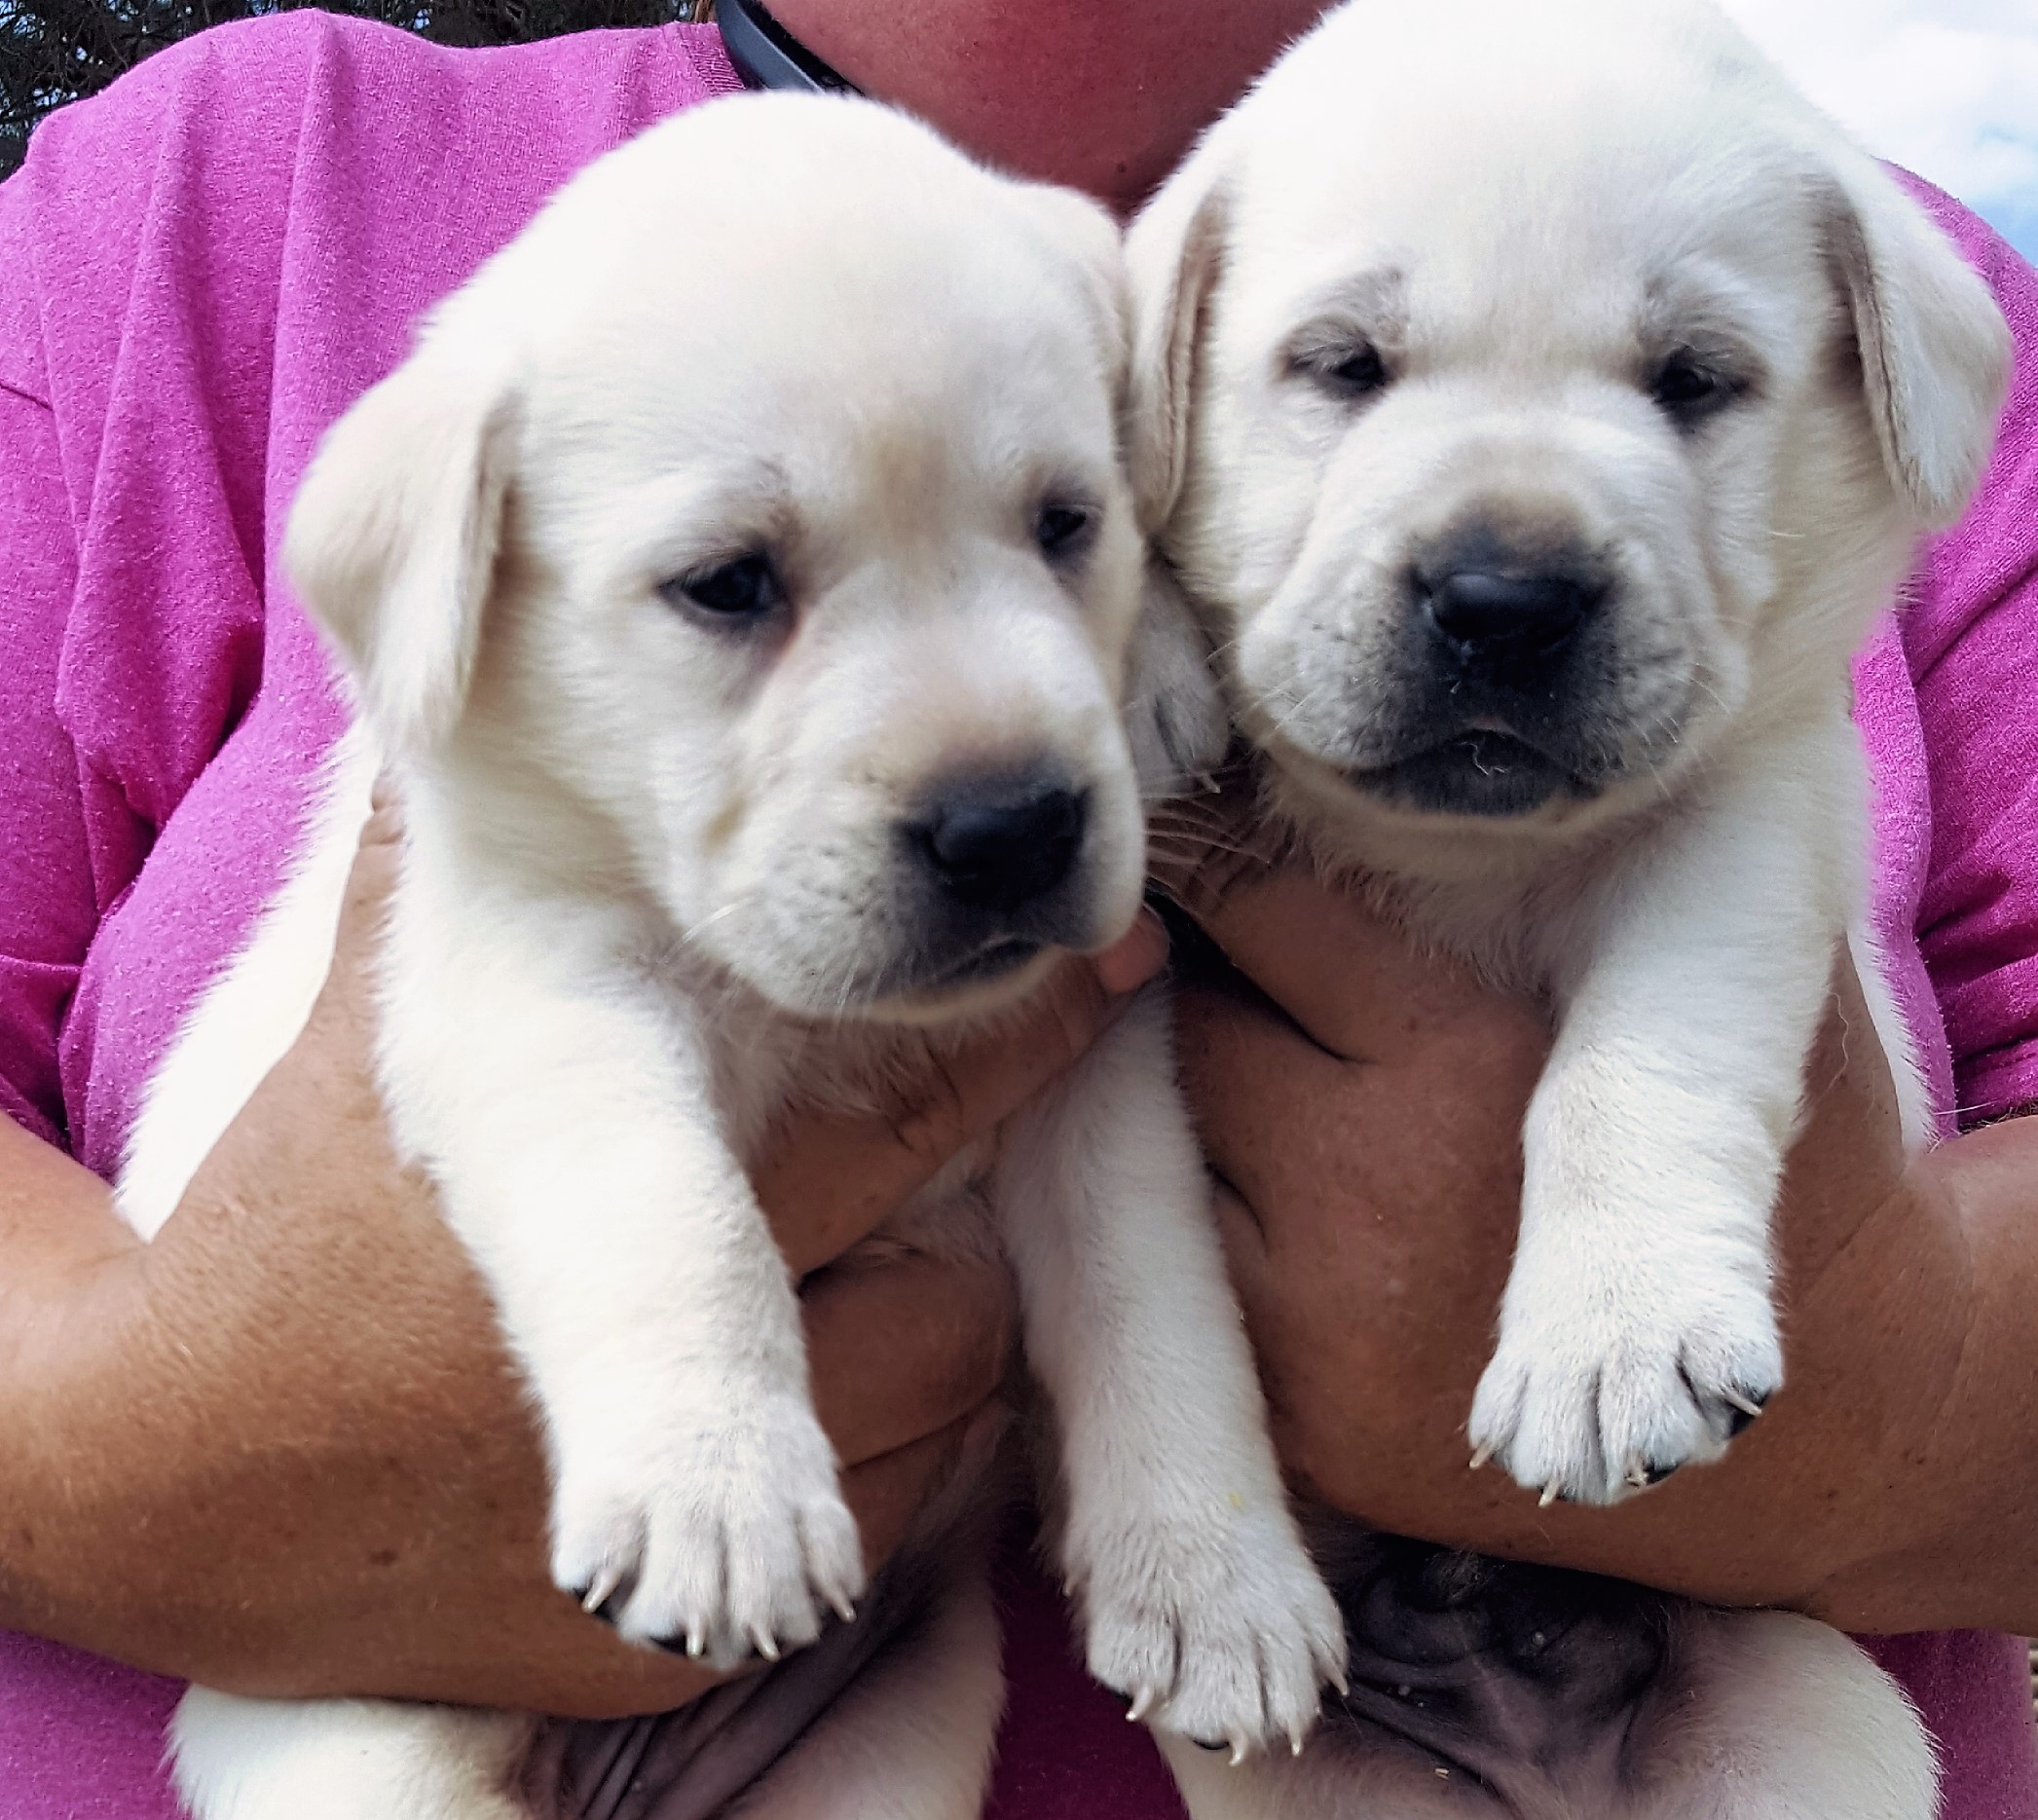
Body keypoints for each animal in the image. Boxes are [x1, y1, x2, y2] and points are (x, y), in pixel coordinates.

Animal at [119, 95, 1345, 1817]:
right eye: (727, 584)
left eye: (1067, 524)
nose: (1015, 826)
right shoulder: (538, 998)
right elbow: (672, 1207)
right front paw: (719, 1490)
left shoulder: (1096, 1072)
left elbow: (1155, 1298)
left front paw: (1219, 1588)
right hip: (362, 1756)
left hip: (889, 1742)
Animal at [1132, 0, 2005, 1809]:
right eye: (1342, 366)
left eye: (1694, 381)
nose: (1504, 598)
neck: (1461, 853)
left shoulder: (1749, 807)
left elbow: (1639, 1056)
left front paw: (1612, 1330)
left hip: (1810, 1728)